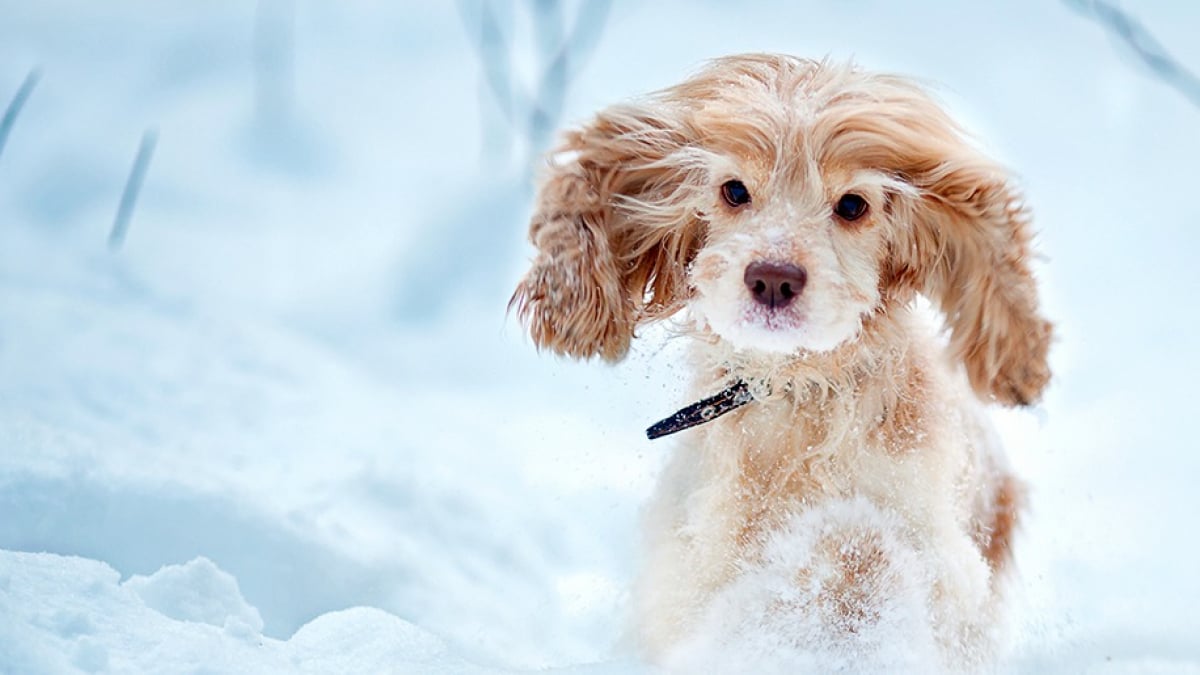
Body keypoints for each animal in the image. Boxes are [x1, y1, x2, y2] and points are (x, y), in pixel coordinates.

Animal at [511, 53, 1056, 667]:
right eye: (733, 190)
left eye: (853, 205)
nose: (773, 278)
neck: (800, 396)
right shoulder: (694, 571)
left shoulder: (937, 552)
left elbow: (859, 544)